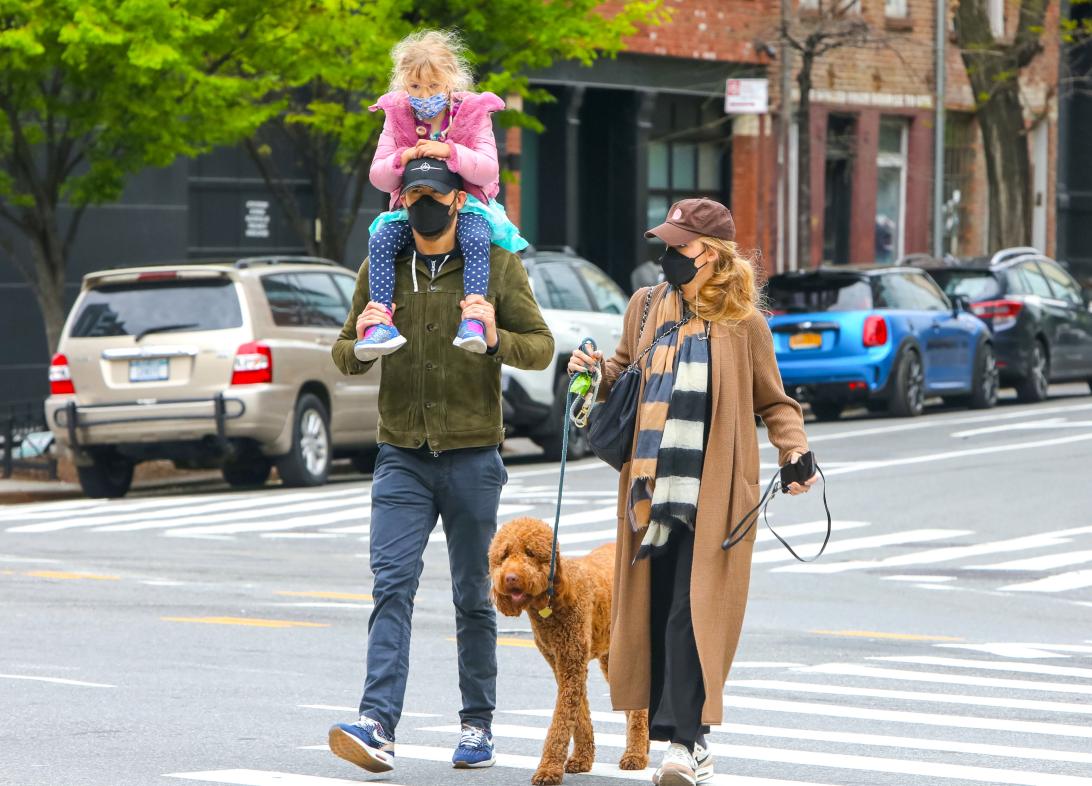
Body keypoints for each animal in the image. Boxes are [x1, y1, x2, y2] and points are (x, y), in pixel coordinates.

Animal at [489, 515, 646, 786]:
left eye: (530, 552)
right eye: (504, 554)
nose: (510, 578)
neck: (551, 601)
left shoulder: (572, 661)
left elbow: (561, 721)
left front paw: (549, 769)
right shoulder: (561, 662)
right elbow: (579, 714)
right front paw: (582, 759)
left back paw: (635, 754)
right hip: (610, 657)